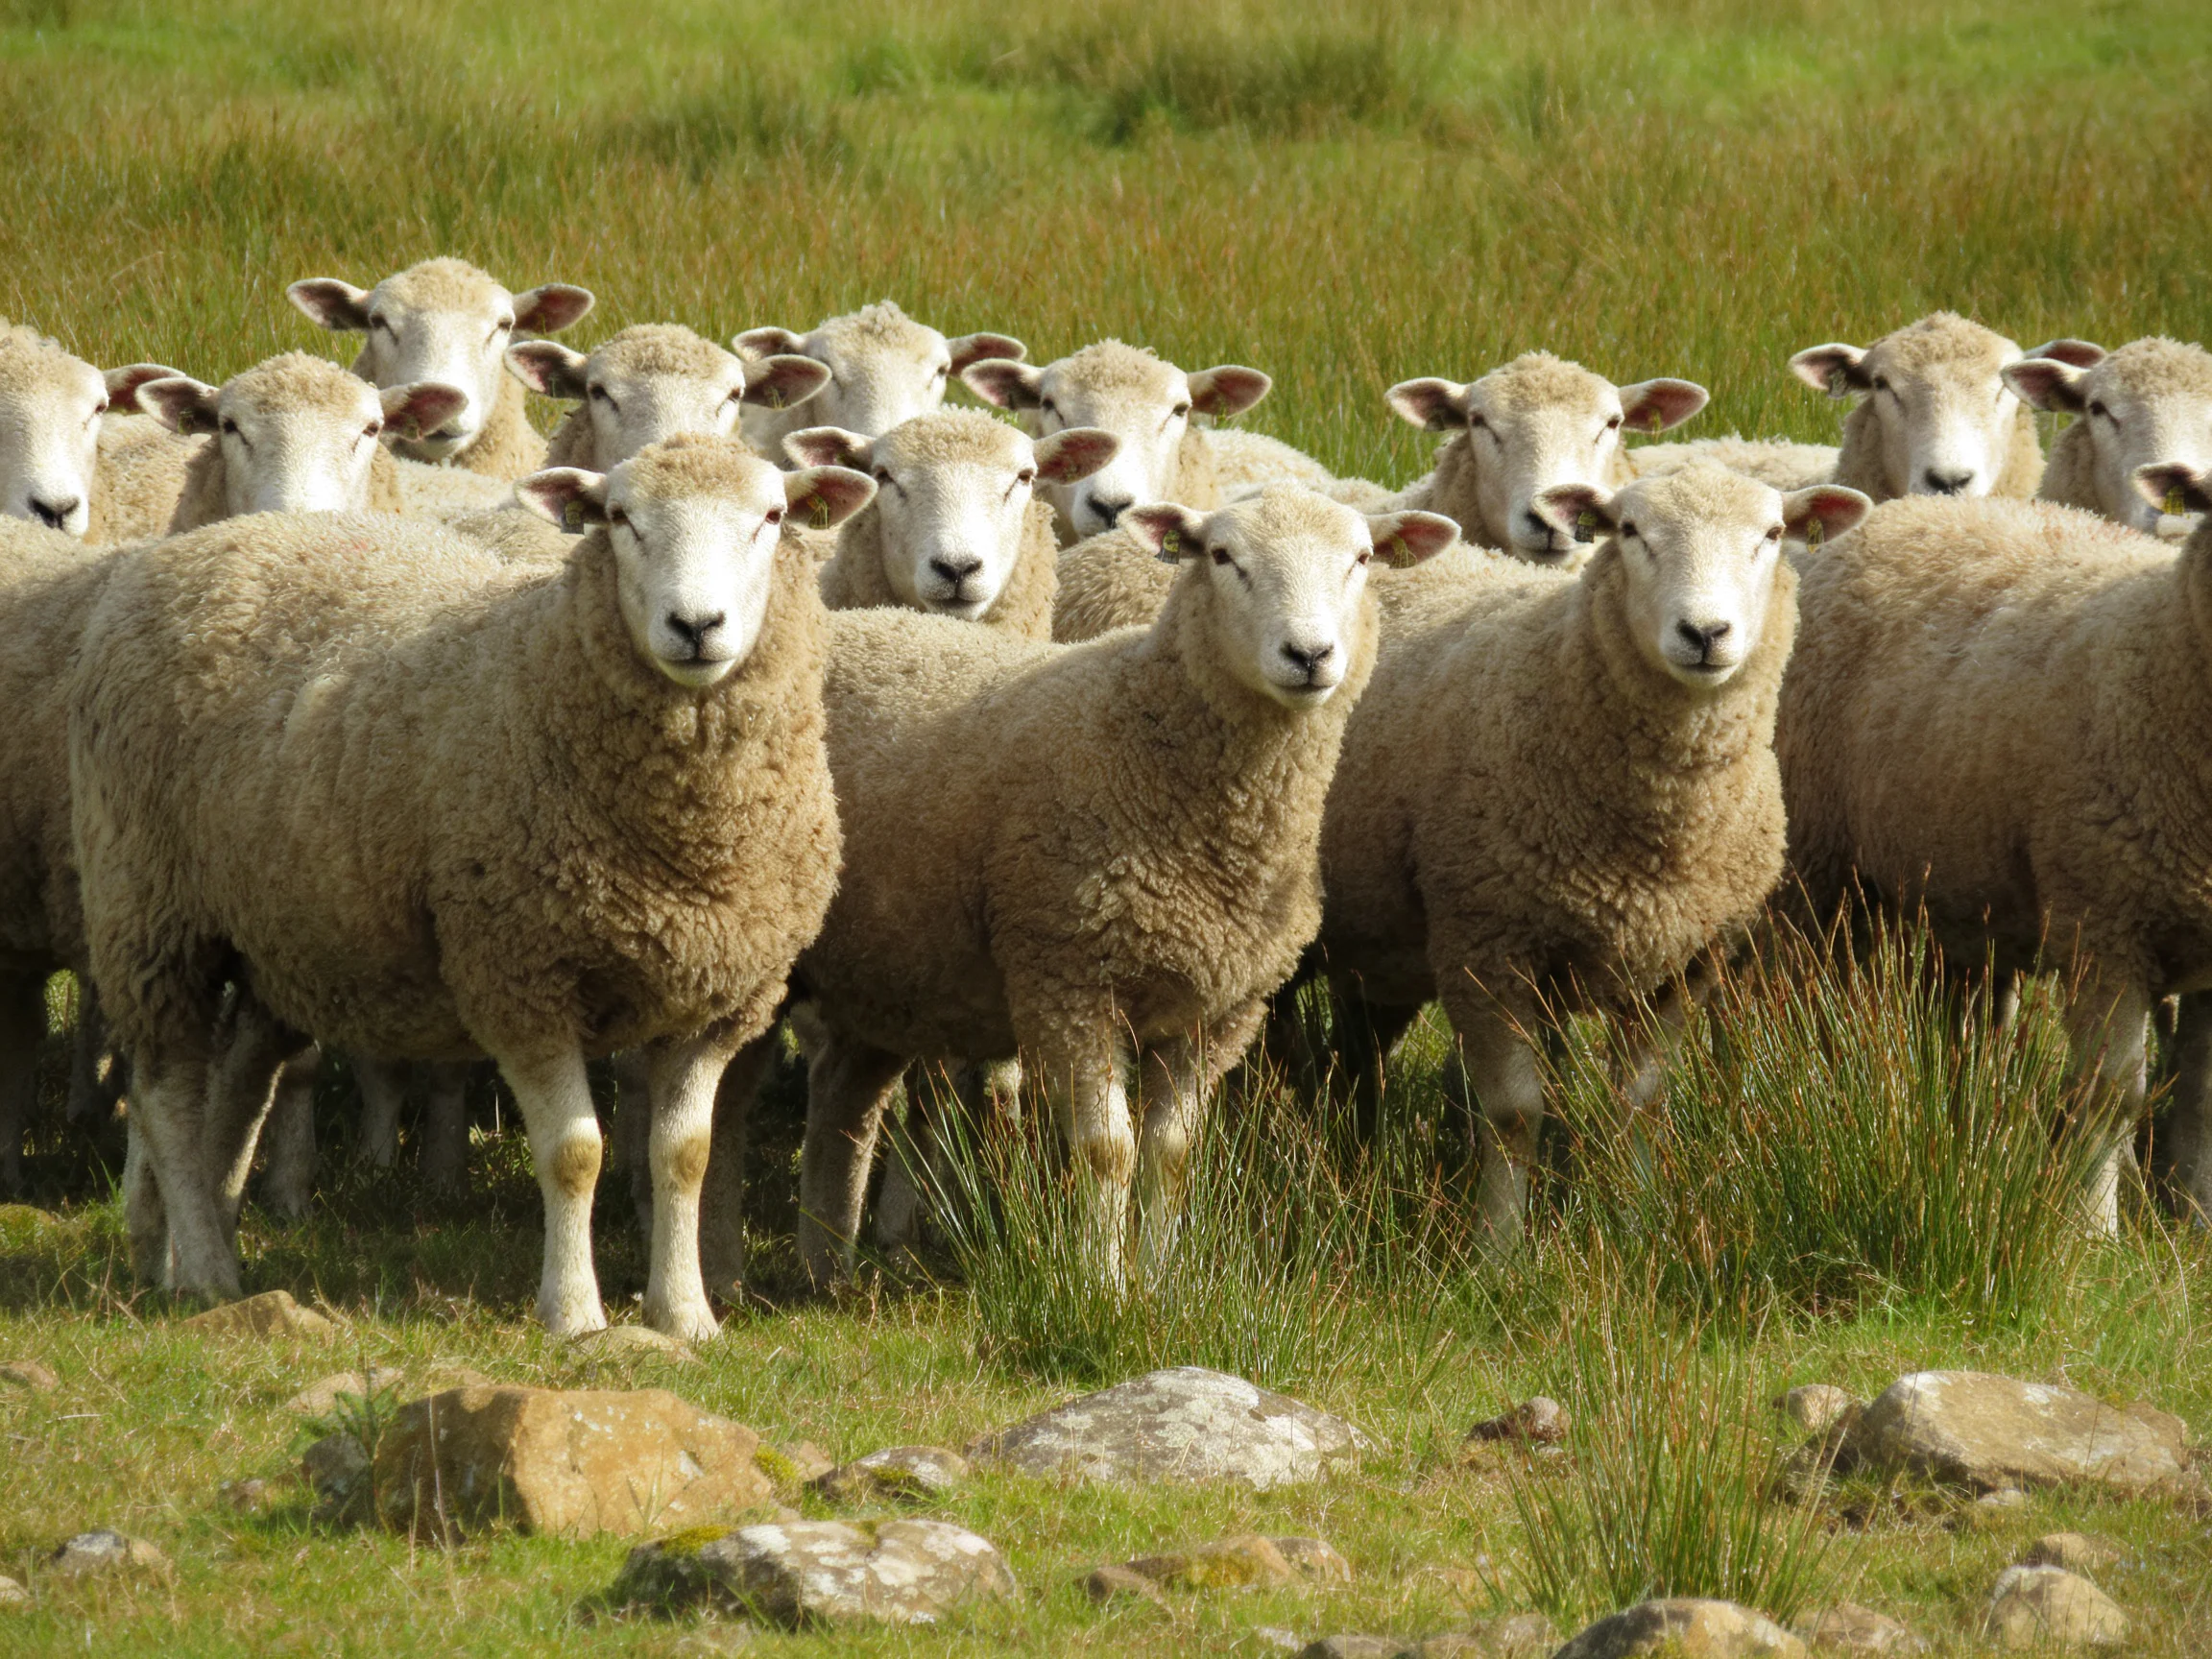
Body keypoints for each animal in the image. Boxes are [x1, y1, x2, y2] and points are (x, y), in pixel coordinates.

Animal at [67, 433, 875, 1336]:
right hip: (150, 909)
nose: (695, 626)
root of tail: (191, 547)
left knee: (235, 1088)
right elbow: (575, 1153)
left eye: (770, 516)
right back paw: (203, 1272)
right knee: (169, 1094)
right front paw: (575, 1314)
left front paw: (686, 1314)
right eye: (620, 517)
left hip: (277, 933)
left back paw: (176, 1251)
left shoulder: (717, 998)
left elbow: (684, 1157)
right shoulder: (519, 970)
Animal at [754, 484, 1456, 1289]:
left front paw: (1157, 1281)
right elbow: (1106, 1150)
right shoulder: (1069, 979)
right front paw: (1102, 1284)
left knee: (844, 1092)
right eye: (1224, 557)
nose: (1309, 655)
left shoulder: (1214, 1012)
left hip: (887, 964)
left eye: (1362, 559)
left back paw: (826, 1270)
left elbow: (1170, 1156)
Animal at [1316, 465, 1869, 1239]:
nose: (1705, 632)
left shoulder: (1684, 961)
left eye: (1772, 533)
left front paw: (1638, 1226)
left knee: (1355, 1050)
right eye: (1630, 531)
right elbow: (1514, 1114)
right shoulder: (1486, 943)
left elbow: (1640, 1104)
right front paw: (1500, 1247)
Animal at [1778, 471, 2212, 1234]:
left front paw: (2193, 1222)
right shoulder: (2103, 929)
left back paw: (1962, 1144)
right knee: (1808, 1012)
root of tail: (1907, 506)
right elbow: (2109, 1095)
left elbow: (2200, 1099)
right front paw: (2091, 1232)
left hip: (1961, 890)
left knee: (1959, 1035)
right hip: (1820, 869)